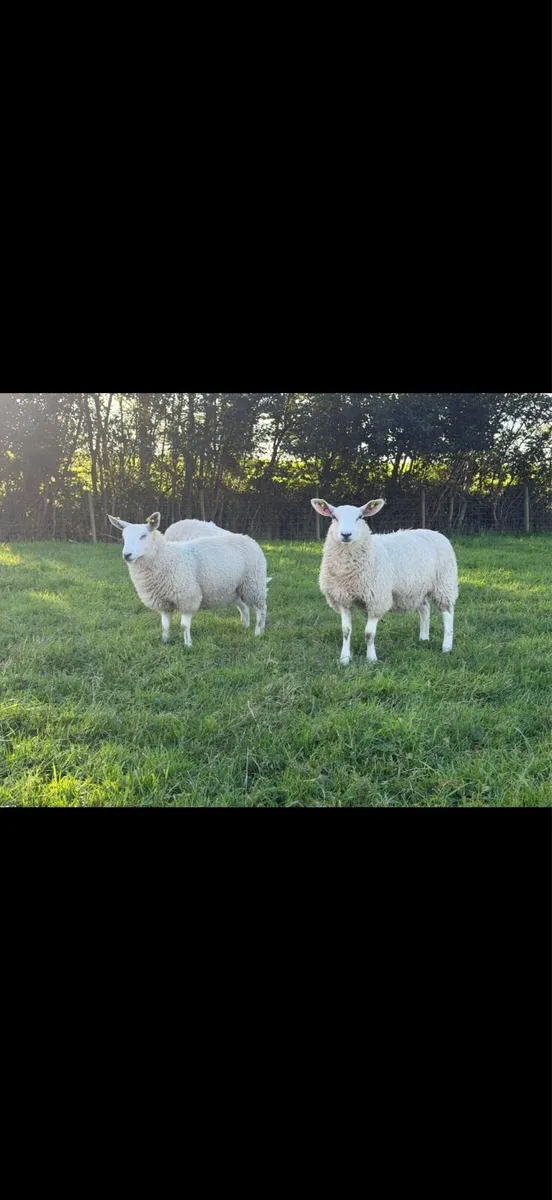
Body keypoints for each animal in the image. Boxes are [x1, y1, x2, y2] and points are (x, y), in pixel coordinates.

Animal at [108, 512, 269, 644]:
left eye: (143, 536)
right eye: (123, 537)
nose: (127, 555)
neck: (166, 558)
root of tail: (247, 538)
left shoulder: (187, 598)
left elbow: (184, 625)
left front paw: (188, 644)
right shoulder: (163, 601)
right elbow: (165, 624)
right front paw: (165, 641)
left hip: (254, 584)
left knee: (261, 609)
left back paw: (258, 633)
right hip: (234, 588)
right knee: (243, 606)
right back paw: (245, 626)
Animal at [311, 498, 459, 666]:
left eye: (360, 517)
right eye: (334, 517)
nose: (346, 534)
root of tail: (435, 532)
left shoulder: (377, 600)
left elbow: (369, 633)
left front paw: (371, 659)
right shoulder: (342, 600)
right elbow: (346, 631)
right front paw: (344, 659)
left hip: (444, 584)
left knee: (448, 614)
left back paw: (446, 647)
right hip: (417, 588)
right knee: (425, 610)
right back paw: (423, 638)